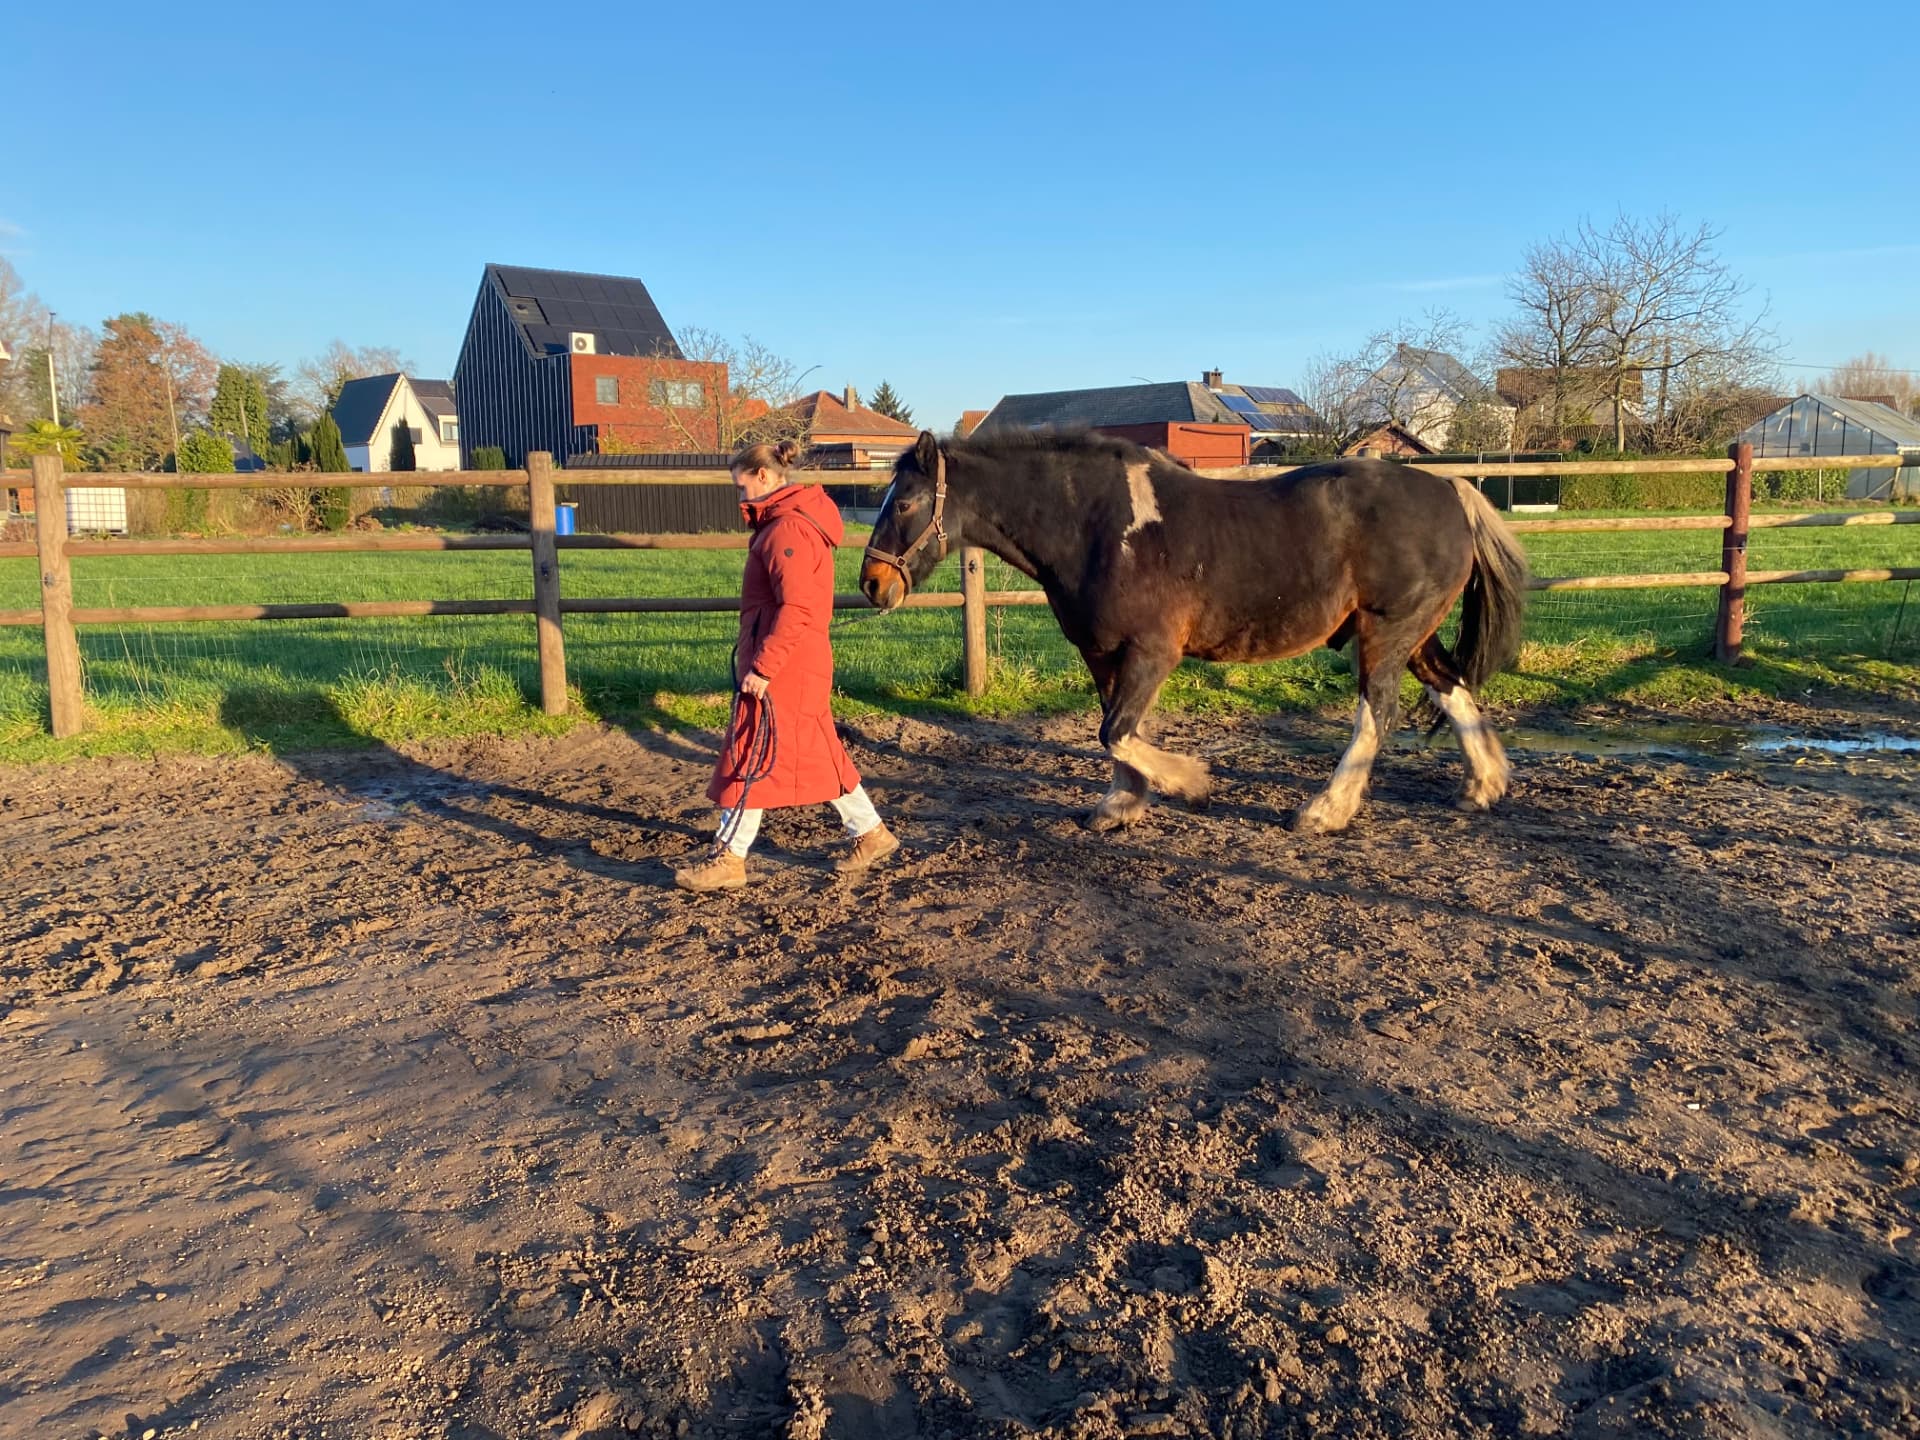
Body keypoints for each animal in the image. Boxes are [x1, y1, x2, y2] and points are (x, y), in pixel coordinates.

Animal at [858, 429, 1530, 834]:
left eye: (906, 503)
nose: (871, 583)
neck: (1094, 526)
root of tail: (1450, 488)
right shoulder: (1102, 653)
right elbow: (1116, 731)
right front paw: (1120, 805)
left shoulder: (1153, 652)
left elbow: (1116, 732)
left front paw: (1190, 783)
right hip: (1413, 633)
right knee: (1453, 686)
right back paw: (1484, 785)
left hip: (1387, 632)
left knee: (1378, 712)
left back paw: (1324, 811)